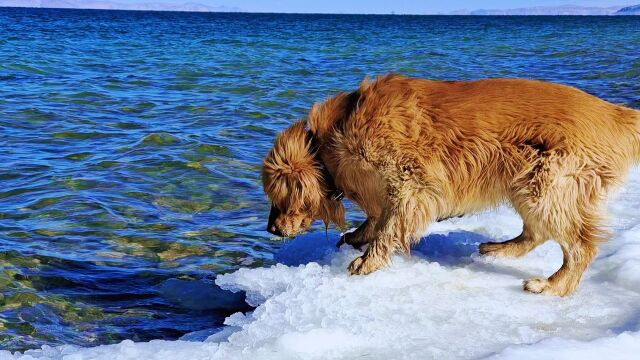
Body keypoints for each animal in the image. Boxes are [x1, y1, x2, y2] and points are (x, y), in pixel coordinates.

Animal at [262, 75, 640, 296]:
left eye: (277, 197)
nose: (272, 230)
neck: (332, 136)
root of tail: (615, 113)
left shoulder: (408, 184)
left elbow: (389, 226)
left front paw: (368, 261)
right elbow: (378, 217)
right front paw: (359, 236)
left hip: (545, 186)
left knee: (580, 247)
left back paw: (552, 285)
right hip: (525, 183)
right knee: (536, 233)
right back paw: (497, 249)